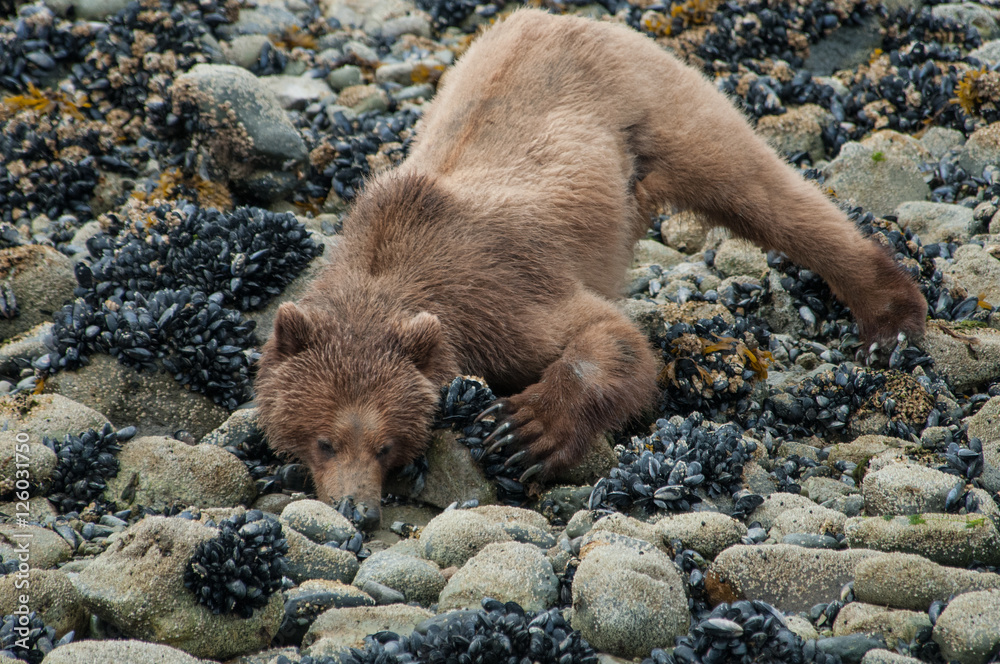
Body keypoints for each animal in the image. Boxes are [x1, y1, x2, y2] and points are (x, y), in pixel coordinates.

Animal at [254, 8, 927, 528]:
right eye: (323, 439)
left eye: (385, 443)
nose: (357, 510)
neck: (386, 270)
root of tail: (573, 19)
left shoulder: (493, 294)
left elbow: (609, 336)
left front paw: (523, 430)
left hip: (661, 109)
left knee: (763, 191)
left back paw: (890, 319)